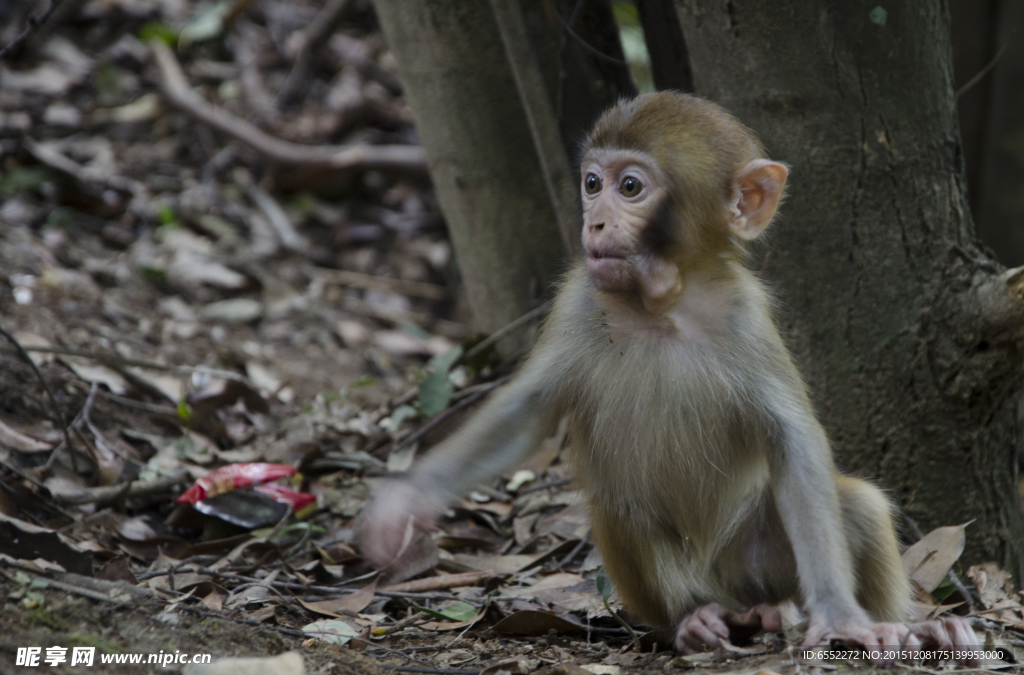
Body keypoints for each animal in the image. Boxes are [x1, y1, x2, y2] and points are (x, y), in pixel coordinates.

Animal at [358, 92, 974, 655]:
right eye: (591, 183)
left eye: (630, 187)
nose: (594, 221)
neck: (664, 307)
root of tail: (743, 593)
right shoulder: (578, 300)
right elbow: (525, 412)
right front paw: (406, 502)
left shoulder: (746, 316)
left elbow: (795, 445)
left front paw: (842, 614)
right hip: (686, 581)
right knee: (623, 511)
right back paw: (695, 621)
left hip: (762, 559)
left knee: (858, 503)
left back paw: (907, 623)